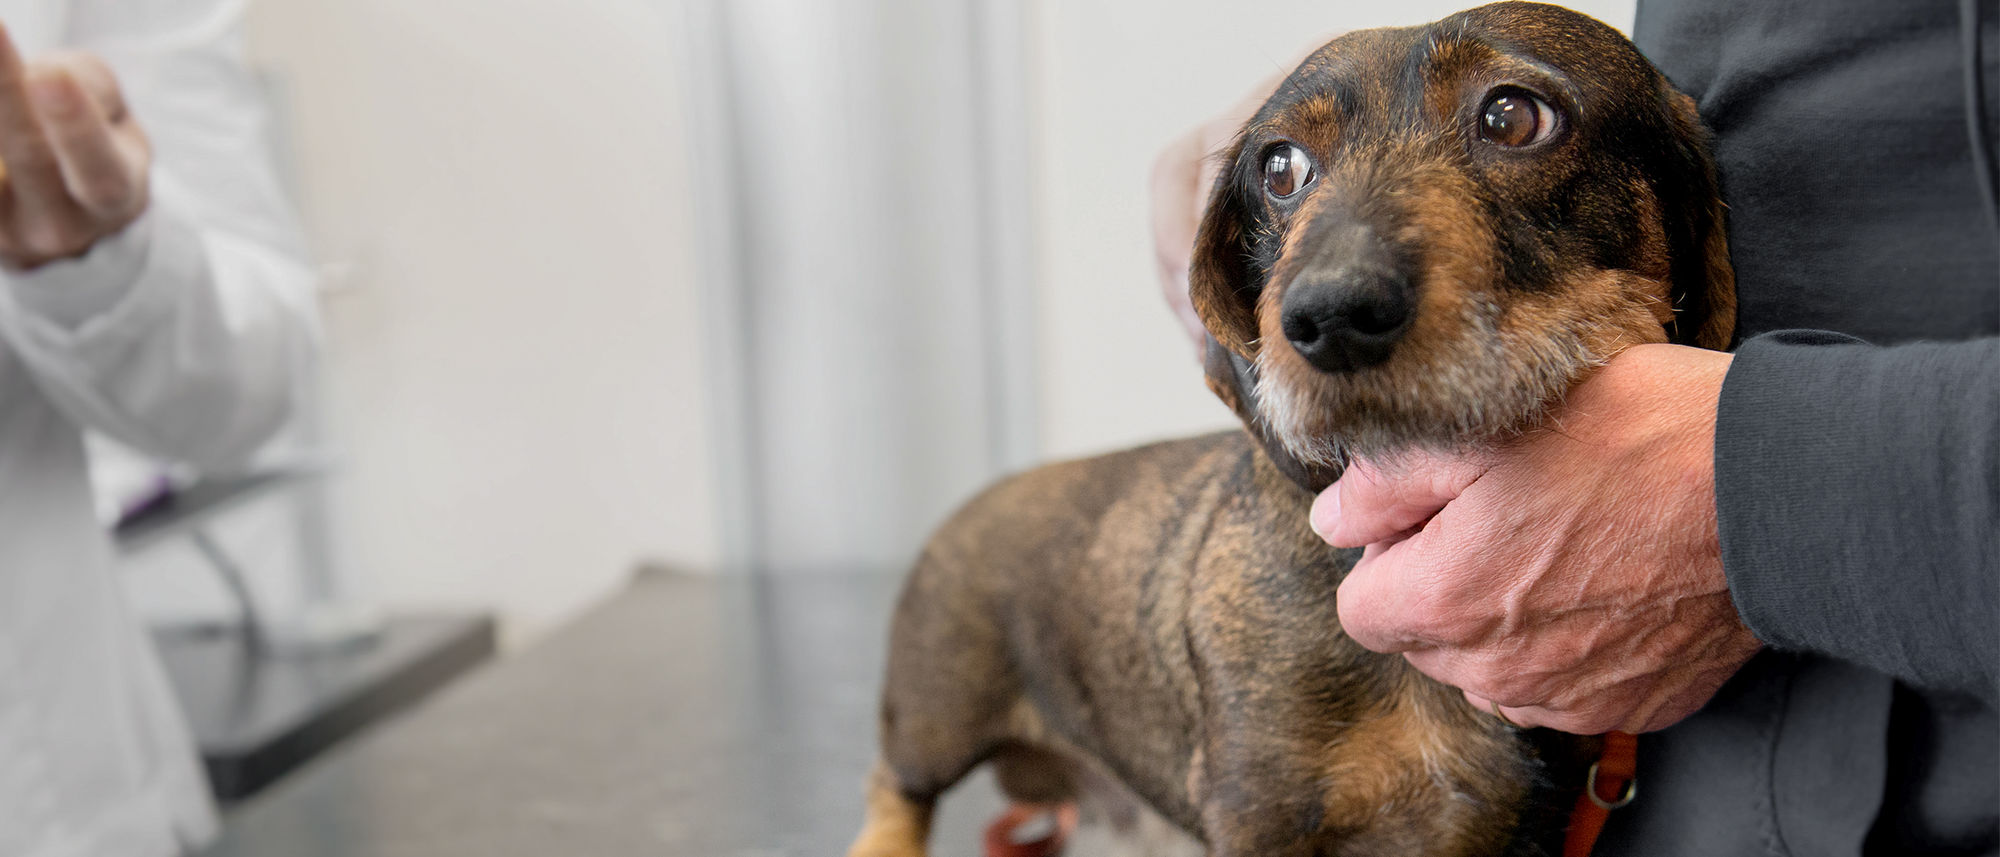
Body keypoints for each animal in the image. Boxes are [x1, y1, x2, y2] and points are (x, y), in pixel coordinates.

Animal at [844, 3, 1736, 852]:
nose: (1330, 316)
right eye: (1280, 168)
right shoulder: (1258, 809)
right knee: (895, 784)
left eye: (1513, 116)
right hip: (932, 724)